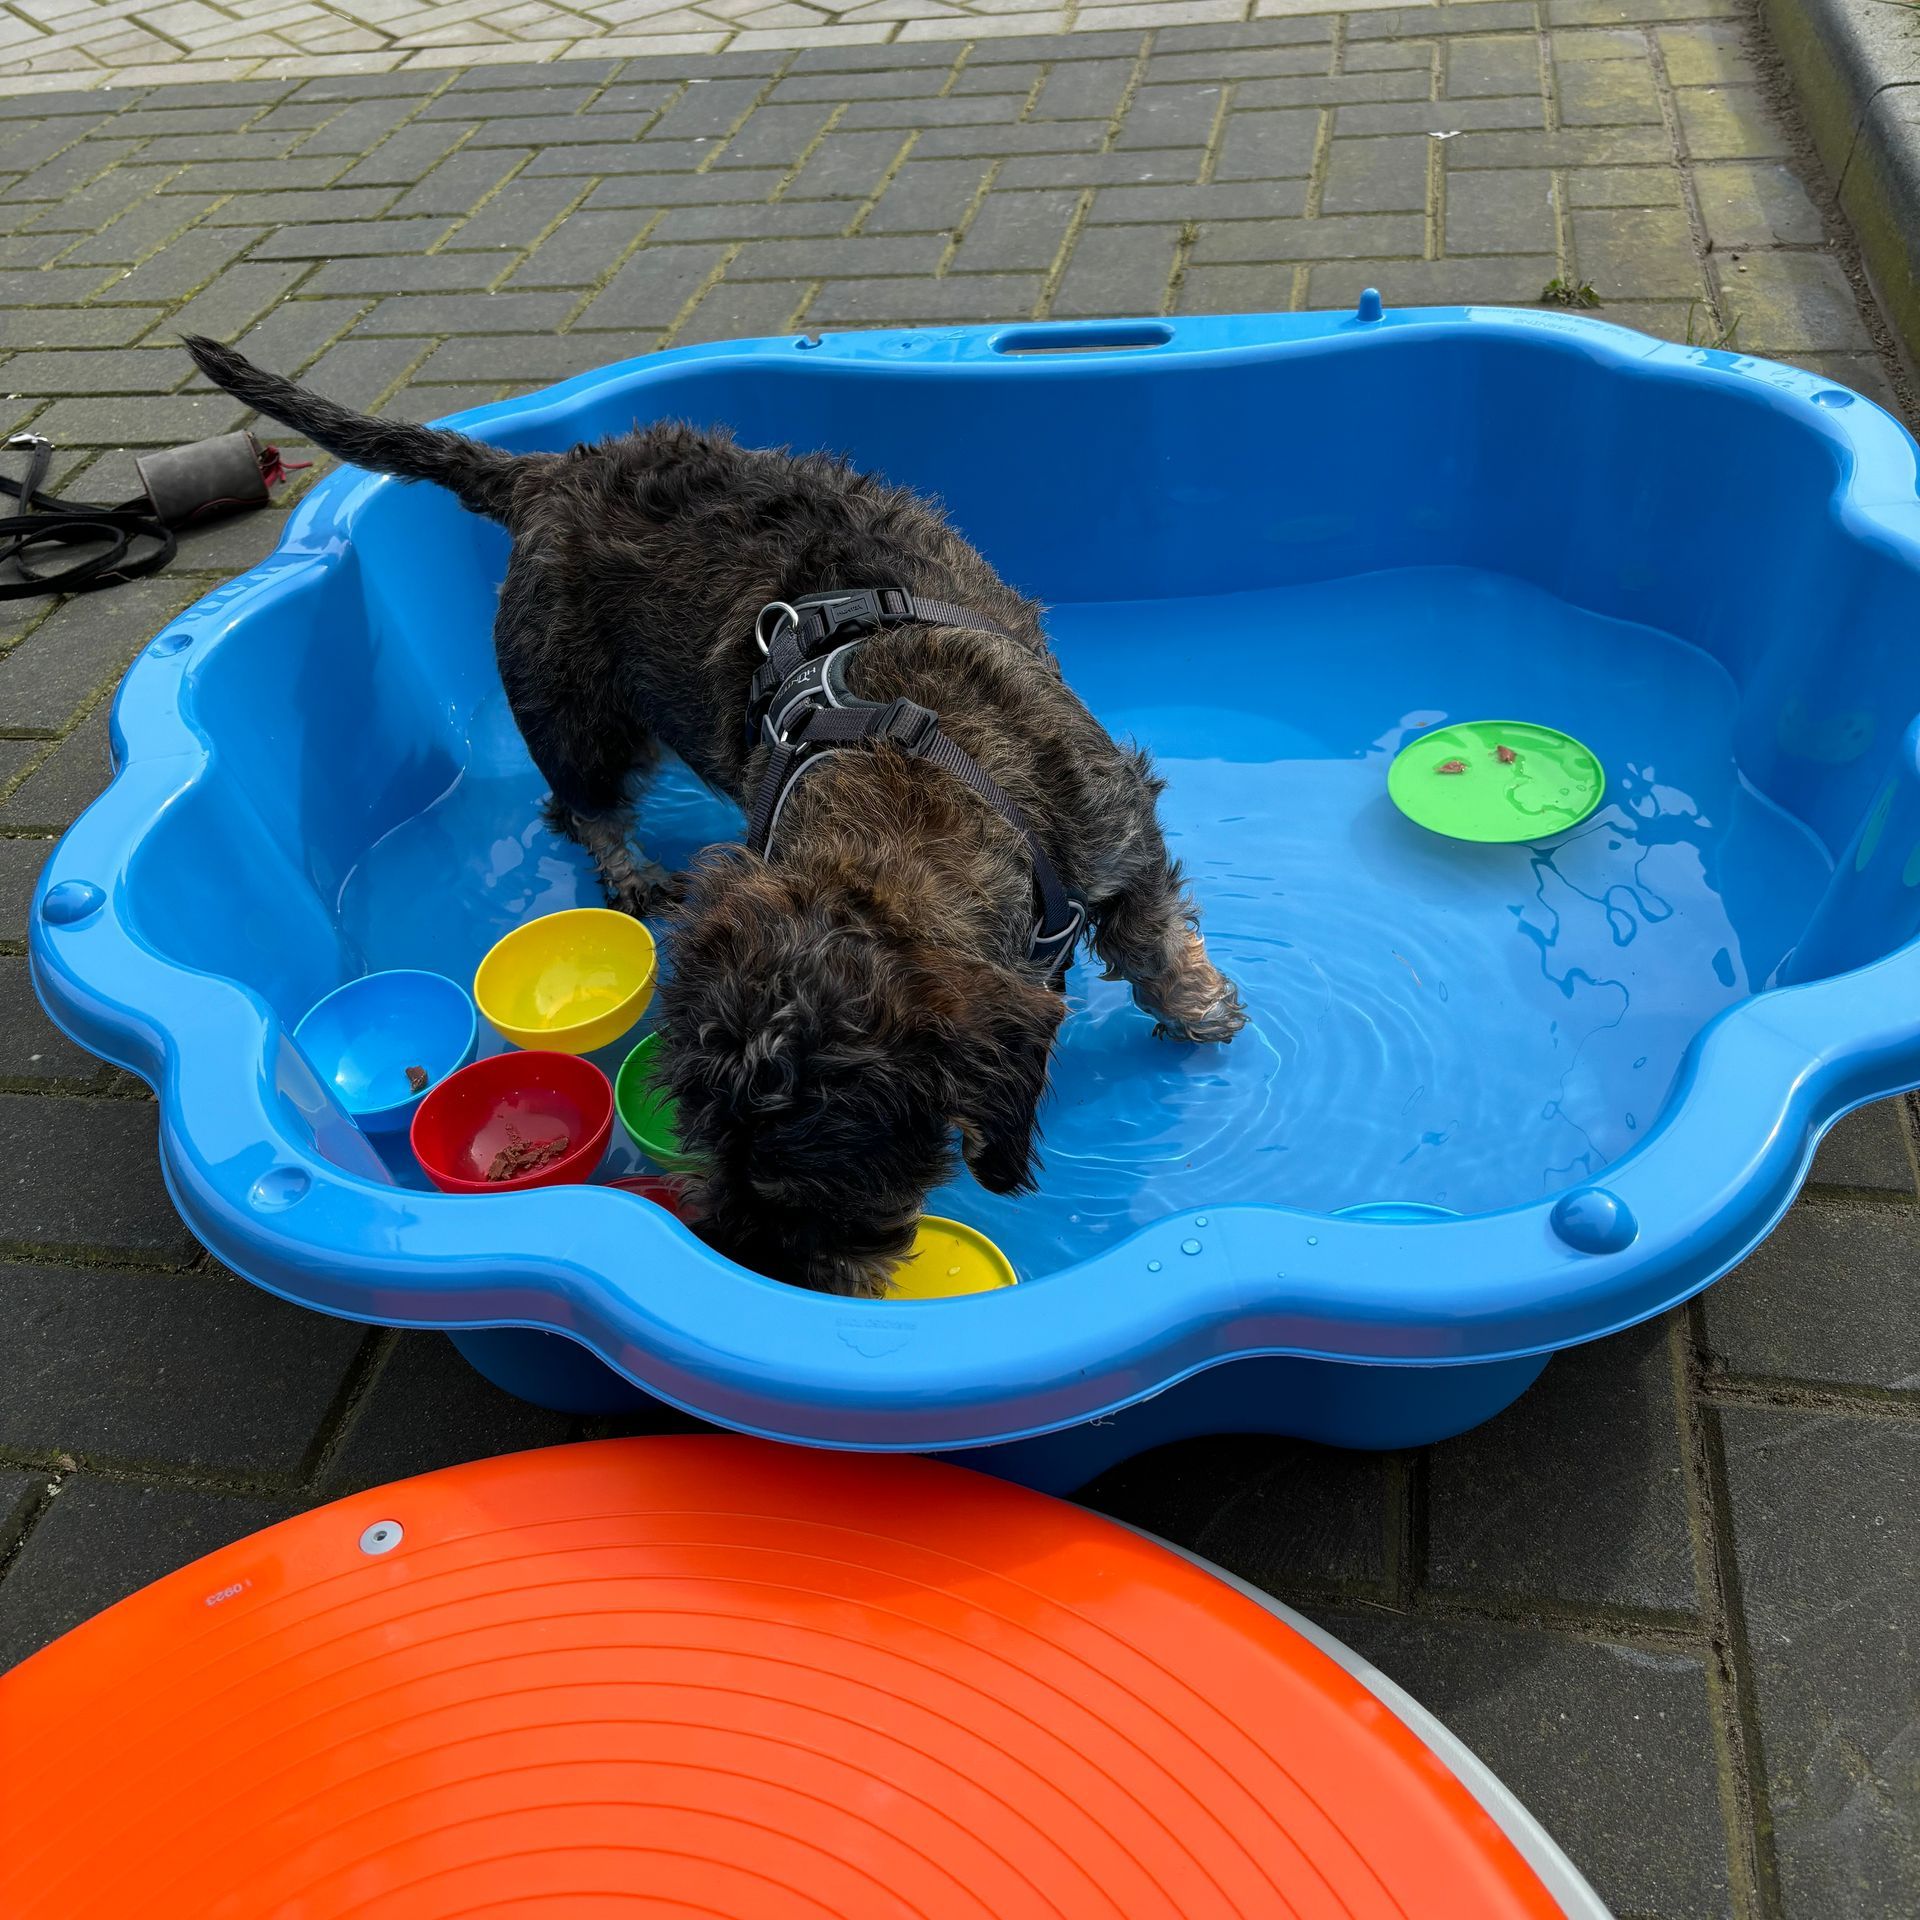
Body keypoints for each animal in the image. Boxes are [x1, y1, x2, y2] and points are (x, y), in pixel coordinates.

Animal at [187, 334, 1251, 1290]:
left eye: (815, 1177)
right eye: (702, 1127)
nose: (749, 1262)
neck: (916, 782)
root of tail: (551, 472)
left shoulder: (1115, 831)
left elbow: (1154, 938)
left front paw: (1199, 1008)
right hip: (578, 709)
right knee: (585, 803)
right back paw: (628, 870)